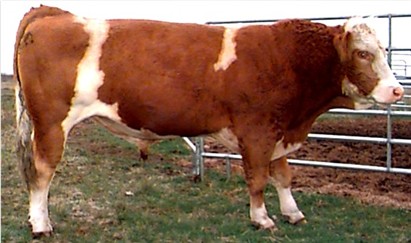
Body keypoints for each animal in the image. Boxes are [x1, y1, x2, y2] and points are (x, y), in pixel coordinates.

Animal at [14, 6, 404, 237]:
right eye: (363, 53)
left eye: (384, 51)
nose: (397, 90)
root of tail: (53, 13)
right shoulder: (257, 133)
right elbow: (258, 179)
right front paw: (262, 218)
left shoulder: (279, 132)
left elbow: (283, 176)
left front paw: (293, 212)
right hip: (51, 123)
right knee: (42, 172)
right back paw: (41, 224)